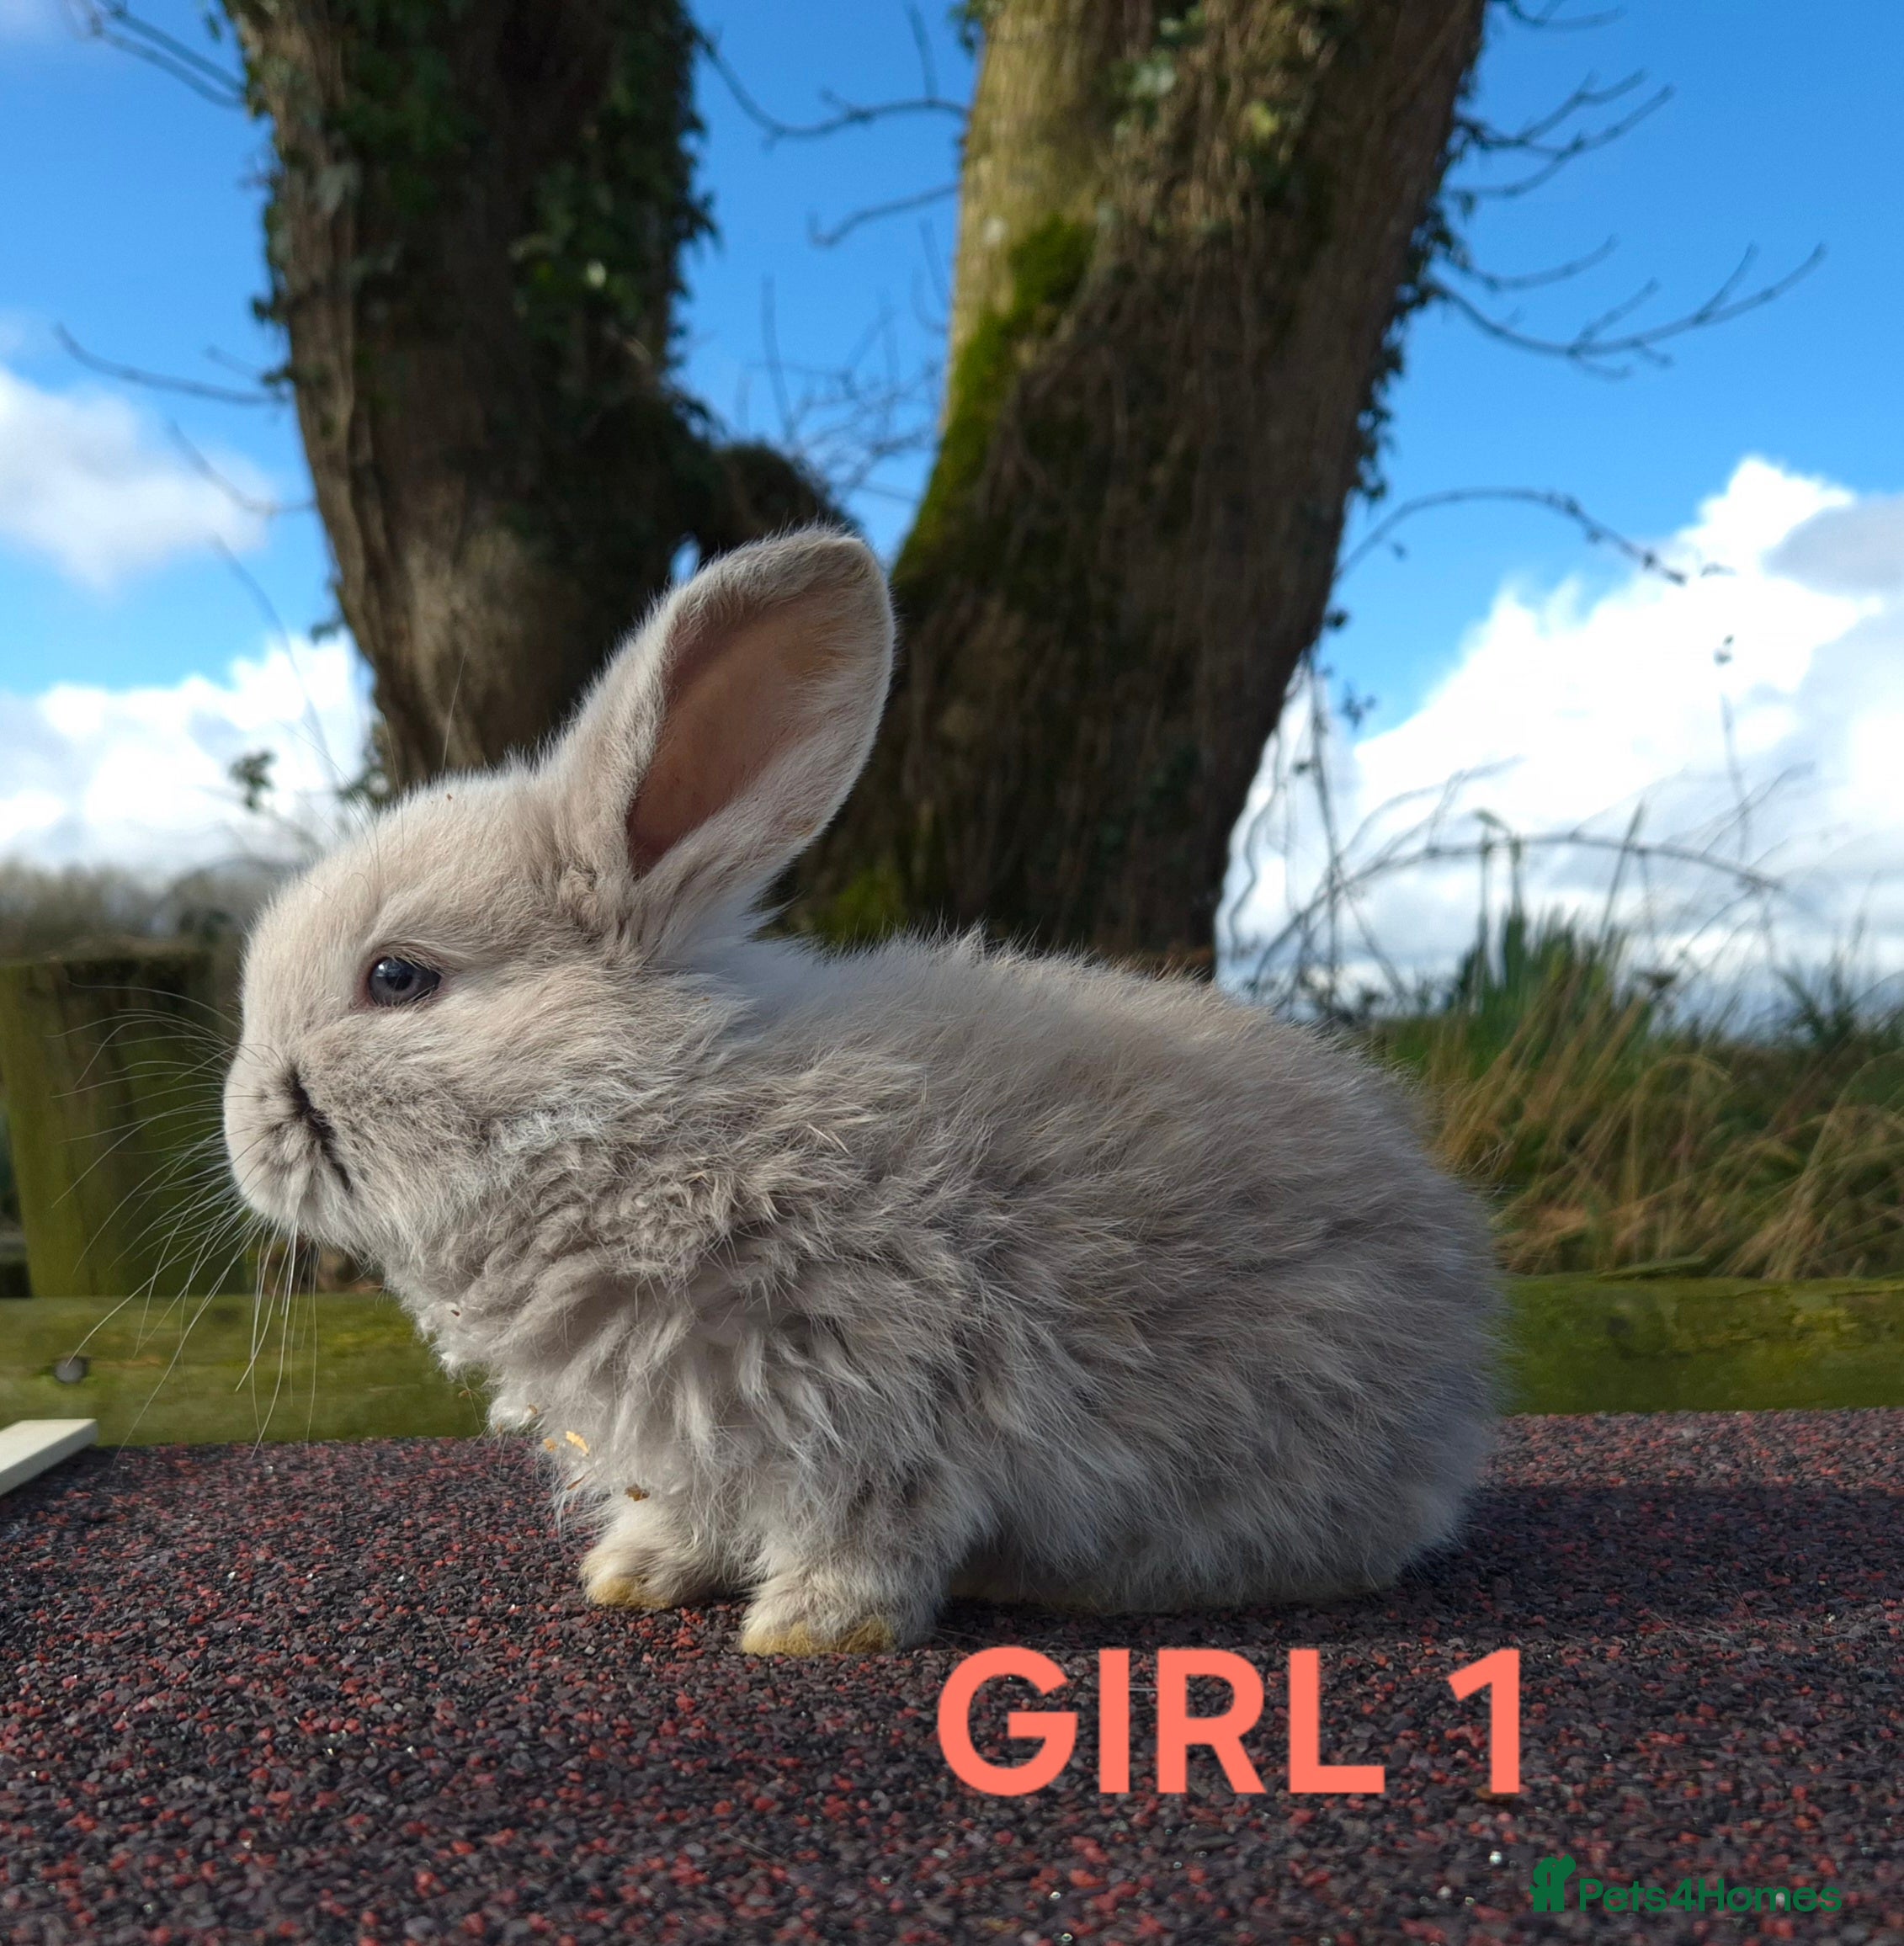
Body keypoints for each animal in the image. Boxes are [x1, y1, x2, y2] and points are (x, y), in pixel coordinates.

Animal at [223, 527, 1501, 1655]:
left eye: (398, 977)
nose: (242, 1136)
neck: (643, 1111)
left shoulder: (886, 1394)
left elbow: (870, 1531)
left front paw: (808, 1631)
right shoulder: (699, 1435)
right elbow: (688, 1513)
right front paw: (630, 1576)